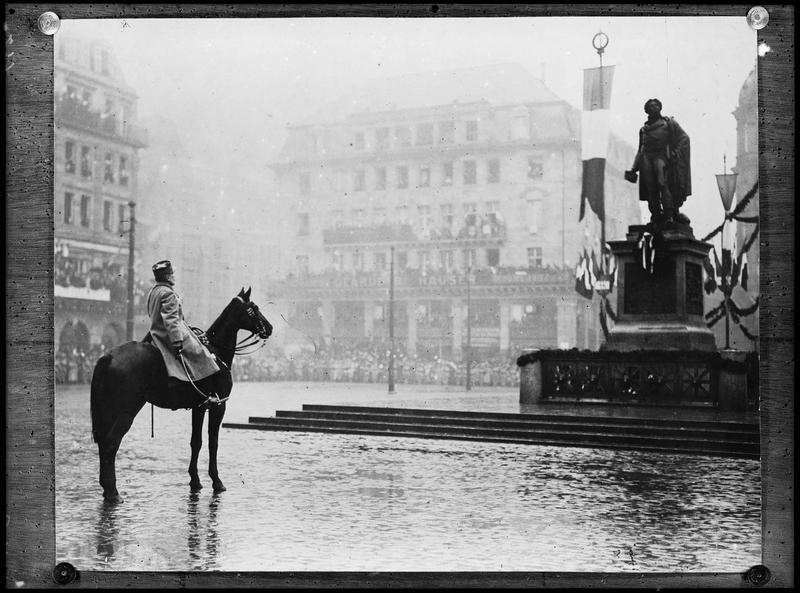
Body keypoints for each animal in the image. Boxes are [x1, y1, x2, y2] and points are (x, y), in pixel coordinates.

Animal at [90, 286, 272, 500]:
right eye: (254, 308)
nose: (270, 328)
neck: (215, 352)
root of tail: (108, 356)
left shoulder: (199, 407)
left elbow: (196, 442)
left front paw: (195, 481)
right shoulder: (219, 405)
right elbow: (213, 443)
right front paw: (217, 481)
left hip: (109, 410)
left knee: (103, 443)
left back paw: (106, 488)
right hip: (126, 411)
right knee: (111, 443)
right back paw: (113, 492)